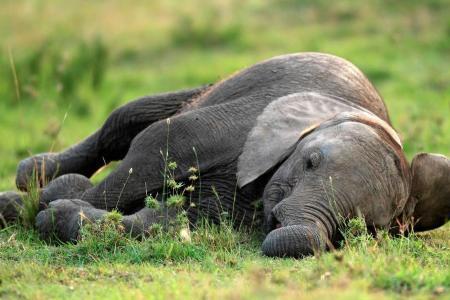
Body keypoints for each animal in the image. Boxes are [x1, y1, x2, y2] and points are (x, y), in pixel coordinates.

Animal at [0, 52, 450, 258]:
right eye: (310, 162)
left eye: (360, 228)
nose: (287, 230)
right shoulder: (238, 125)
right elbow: (156, 145)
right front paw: (37, 204)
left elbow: (166, 222)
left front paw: (57, 214)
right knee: (124, 122)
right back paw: (33, 176)